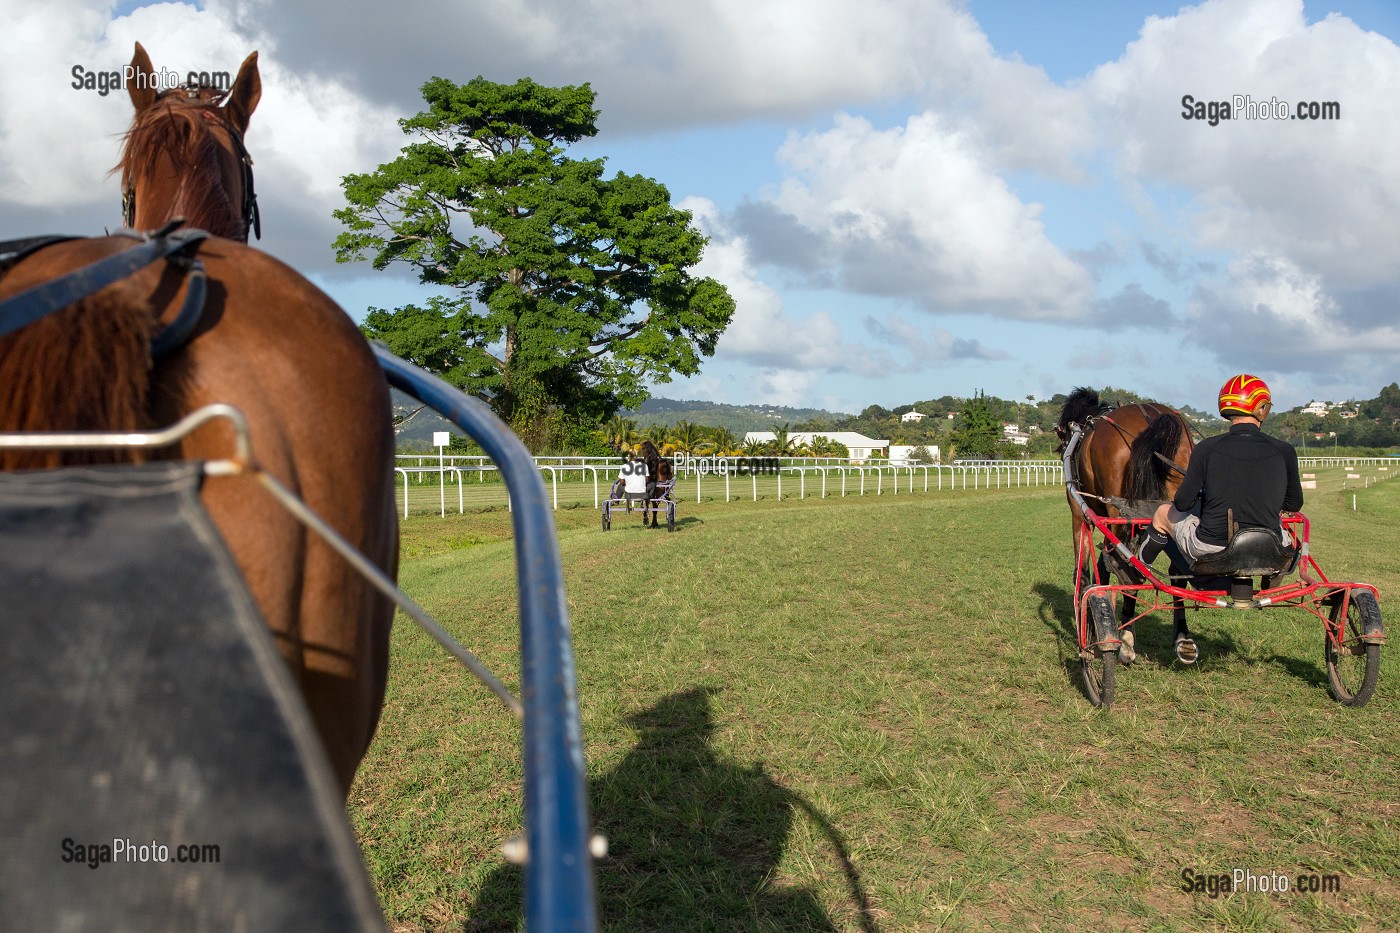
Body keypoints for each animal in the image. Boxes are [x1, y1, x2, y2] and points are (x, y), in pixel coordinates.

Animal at [1056, 387, 1197, 662]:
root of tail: (1153, 418)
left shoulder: (1080, 514)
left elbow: (1086, 569)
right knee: (1173, 572)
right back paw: (1181, 638)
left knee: (1124, 566)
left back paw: (1124, 641)